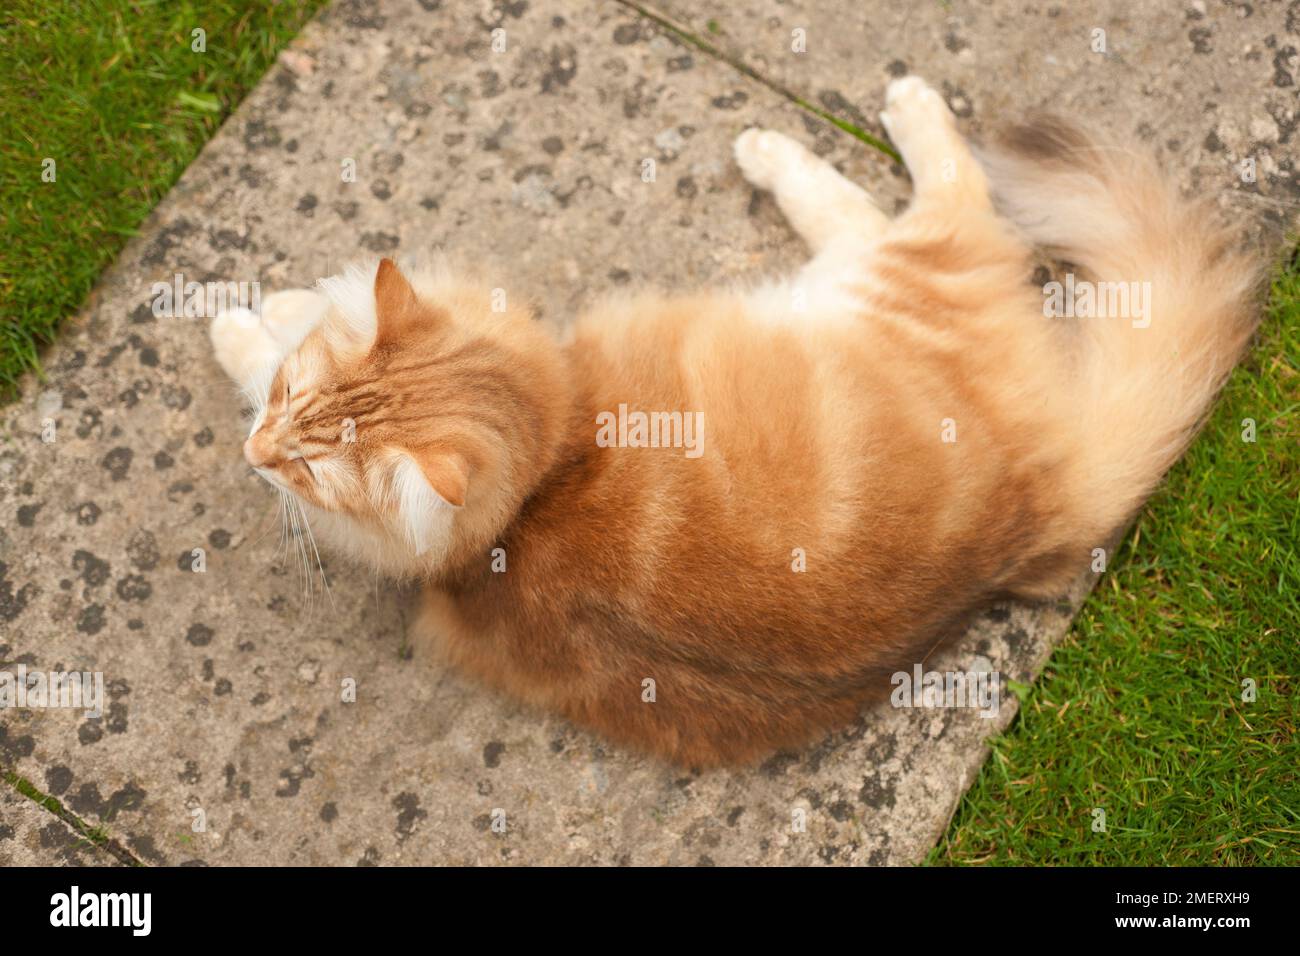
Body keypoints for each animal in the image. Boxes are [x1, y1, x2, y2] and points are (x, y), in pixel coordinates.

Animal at [210, 78, 1258, 764]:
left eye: (304, 468)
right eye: (287, 423)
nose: (255, 452)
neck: (546, 472)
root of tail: (1045, 511)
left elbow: (276, 328)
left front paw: (238, 319)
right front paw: (278, 316)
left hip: (893, 274)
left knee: (946, 197)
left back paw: (856, 119)